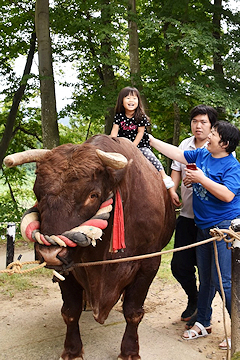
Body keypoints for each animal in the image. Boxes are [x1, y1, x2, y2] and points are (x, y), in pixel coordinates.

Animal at [3, 135, 175, 360]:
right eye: (37, 192)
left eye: (92, 195)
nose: (50, 253)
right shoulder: (67, 267)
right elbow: (70, 311)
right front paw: (72, 350)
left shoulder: (149, 264)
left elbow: (133, 312)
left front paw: (129, 351)